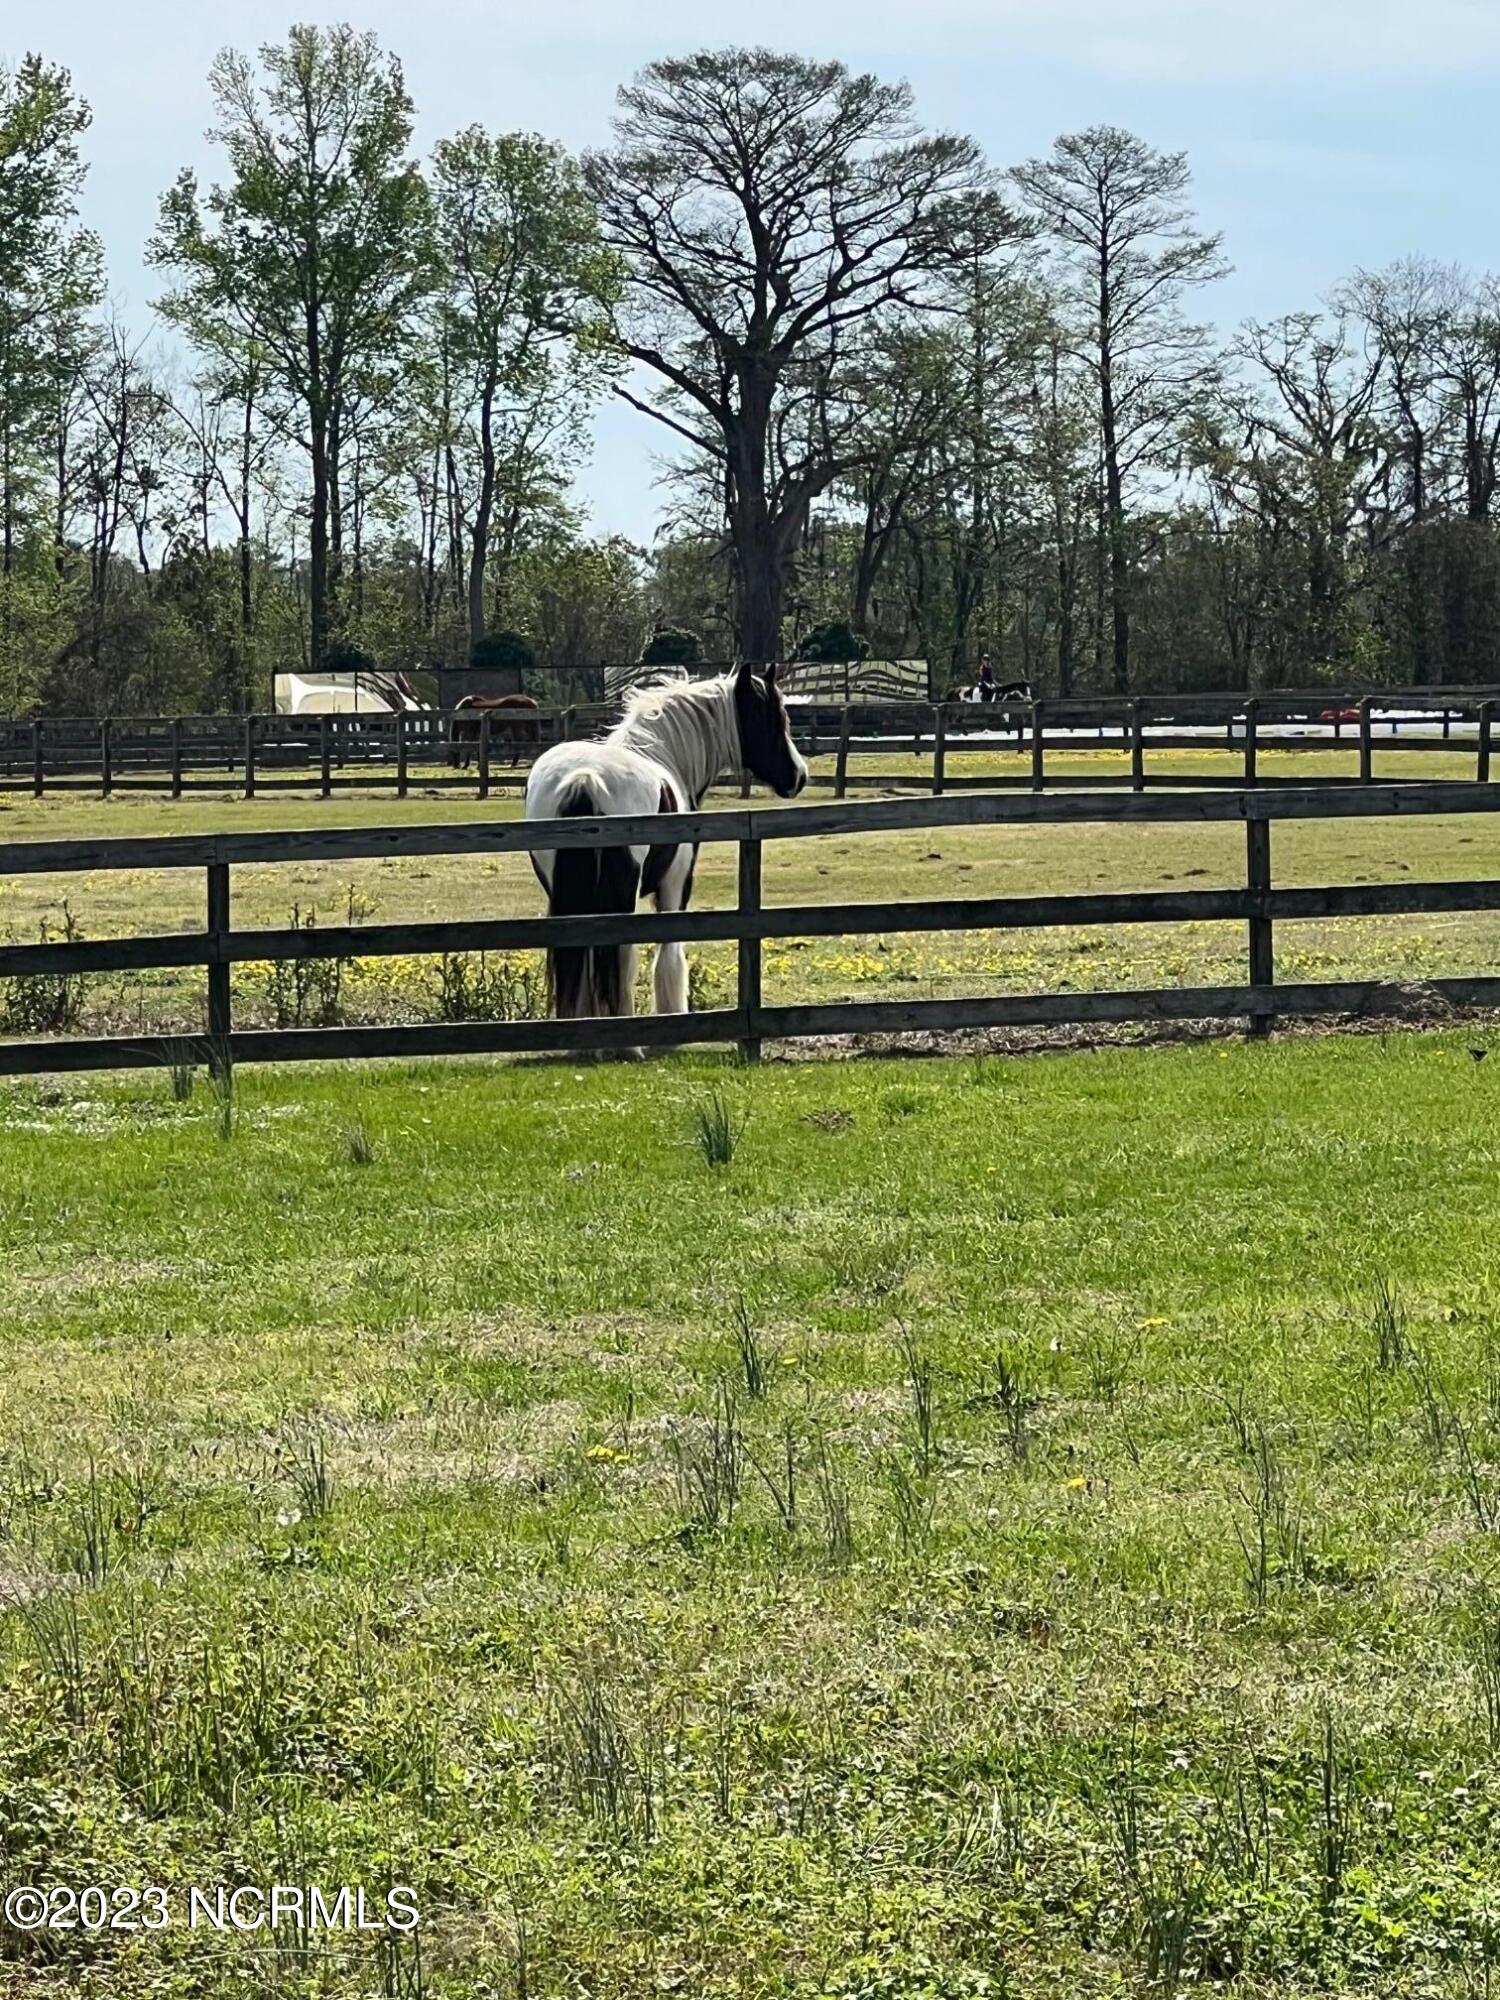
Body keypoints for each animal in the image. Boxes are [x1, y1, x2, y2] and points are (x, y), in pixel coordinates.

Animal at [528, 660, 812, 1024]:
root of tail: (585, 780)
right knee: (622, 962)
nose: (799, 776)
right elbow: (670, 957)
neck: (665, 754)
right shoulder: (674, 887)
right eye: (774, 718)